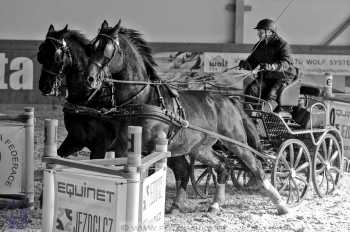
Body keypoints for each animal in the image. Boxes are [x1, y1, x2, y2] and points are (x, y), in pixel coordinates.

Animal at [85, 20, 290, 214]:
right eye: (91, 48)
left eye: (107, 50)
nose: (90, 79)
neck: (143, 100)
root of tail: (229, 100)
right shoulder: (123, 146)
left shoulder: (155, 148)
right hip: (199, 148)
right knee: (220, 165)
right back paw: (211, 204)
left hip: (236, 142)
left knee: (255, 165)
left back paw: (280, 203)